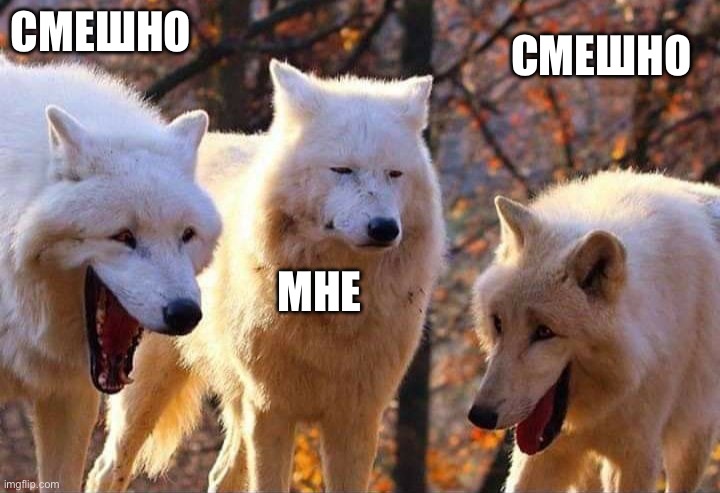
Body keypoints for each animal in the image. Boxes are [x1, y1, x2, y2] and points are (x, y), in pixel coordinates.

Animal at [86, 60, 445, 492]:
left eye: (395, 174)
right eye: (342, 170)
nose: (384, 228)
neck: (334, 299)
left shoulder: (357, 418)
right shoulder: (271, 409)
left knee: (221, 474)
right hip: (148, 387)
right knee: (107, 469)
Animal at [468, 170, 720, 492]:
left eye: (544, 332)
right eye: (499, 323)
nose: (480, 416)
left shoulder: (637, 456)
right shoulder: (545, 453)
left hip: (691, 442)